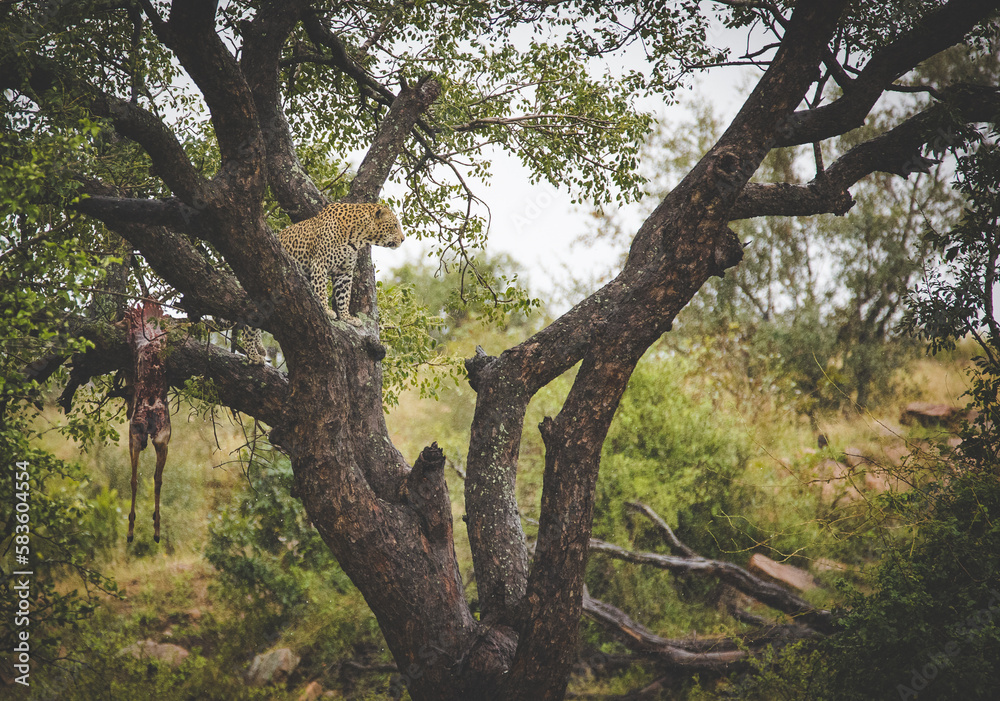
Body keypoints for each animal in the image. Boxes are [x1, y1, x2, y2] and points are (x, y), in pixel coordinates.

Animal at [242, 201, 402, 366]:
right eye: (395, 225)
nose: (403, 239)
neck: (359, 237)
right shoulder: (320, 264)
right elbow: (321, 290)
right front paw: (326, 310)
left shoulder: (344, 272)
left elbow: (344, 296)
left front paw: (347, 317)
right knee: (247, 327)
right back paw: (253, 355)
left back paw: (259, 348)